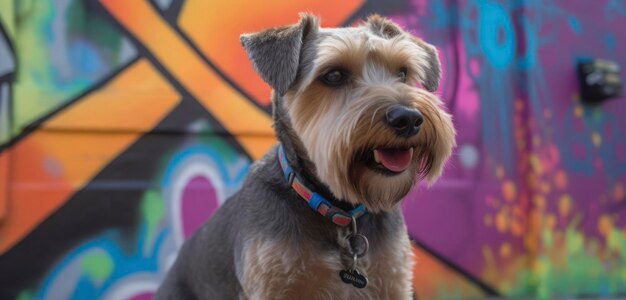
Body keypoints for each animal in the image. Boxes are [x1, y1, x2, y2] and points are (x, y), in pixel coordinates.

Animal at [157, 12, 454, 298]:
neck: (338, 211)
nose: (409, 118)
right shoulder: (272, 284)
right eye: (334, 75)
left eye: (402, 72)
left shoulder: (392, 279)